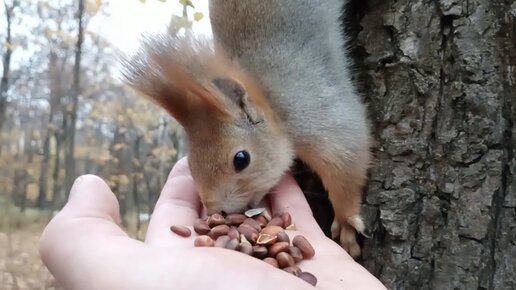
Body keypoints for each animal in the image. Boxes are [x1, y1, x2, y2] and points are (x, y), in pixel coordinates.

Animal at [121, 0, 370, 258]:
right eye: (190, 164)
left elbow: (346, 156)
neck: (272, 107)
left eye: (241, 159)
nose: (218, 212)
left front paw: (346, 222)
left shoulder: (316, 111)